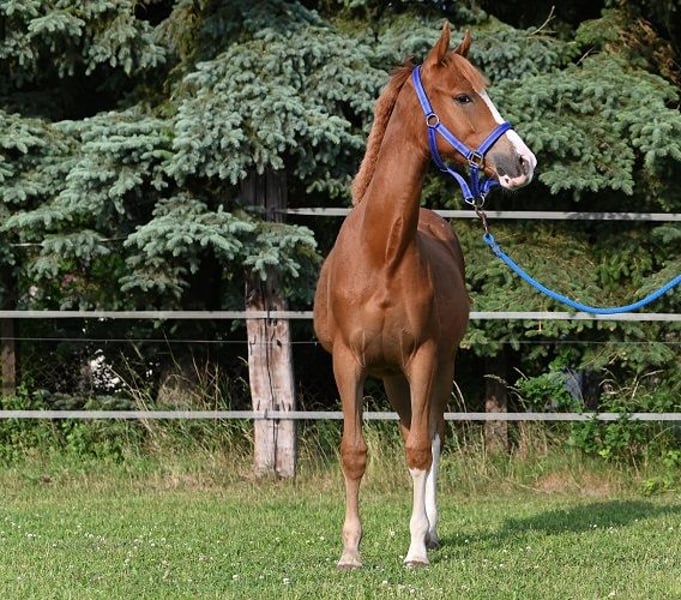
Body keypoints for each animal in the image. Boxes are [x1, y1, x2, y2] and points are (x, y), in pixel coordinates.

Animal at [313, 22, 536, 568]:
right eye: (463, 96)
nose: (523, 161)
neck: (381, 255)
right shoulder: (348, 363)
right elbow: (354, 453)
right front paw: (350, 551)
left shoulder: (424, 357)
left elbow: (419, 450)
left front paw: (416, 547)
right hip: (392, 376)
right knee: (411, 428)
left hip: (438, 365)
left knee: (430, 437)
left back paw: (431, 532)